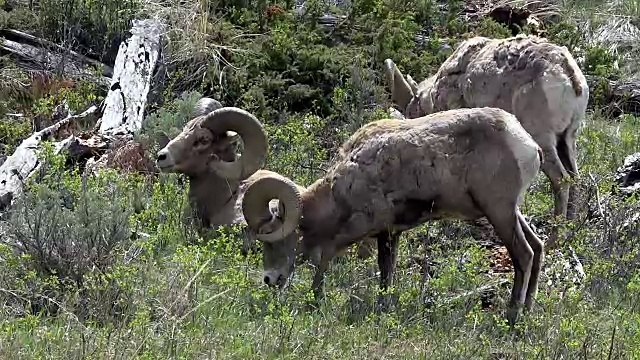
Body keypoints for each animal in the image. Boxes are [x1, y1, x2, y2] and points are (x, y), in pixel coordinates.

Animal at [242, 107, 544, 326]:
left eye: (270, 238)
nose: (269, 280)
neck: (342, 187)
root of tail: (528, 144)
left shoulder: (368, 230)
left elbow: (329, 260)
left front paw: (316, 300)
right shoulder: (390, 233)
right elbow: (386, 273)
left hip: (499, 212)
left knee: (524, 254)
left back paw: (512, 317)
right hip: (512, 212)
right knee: (537, 247)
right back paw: (528, 309)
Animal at [384, 34, 592, 248]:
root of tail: (569, 77)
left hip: (543, 139)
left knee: (561, 180)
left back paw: (553, 241)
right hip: (566, 139)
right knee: (574, 177)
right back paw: (568, 232)